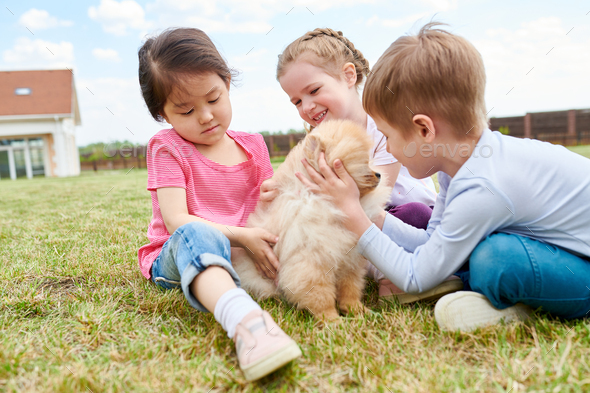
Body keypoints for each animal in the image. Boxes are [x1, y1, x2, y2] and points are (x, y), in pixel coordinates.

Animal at [232, 119, 394, 318]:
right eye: (362, 163)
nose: (379, 174)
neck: (328, 202)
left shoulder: (350, 258)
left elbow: (350, 287)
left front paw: (357, 310)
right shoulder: (311, 259)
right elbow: (320, 294)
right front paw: (332, 319)